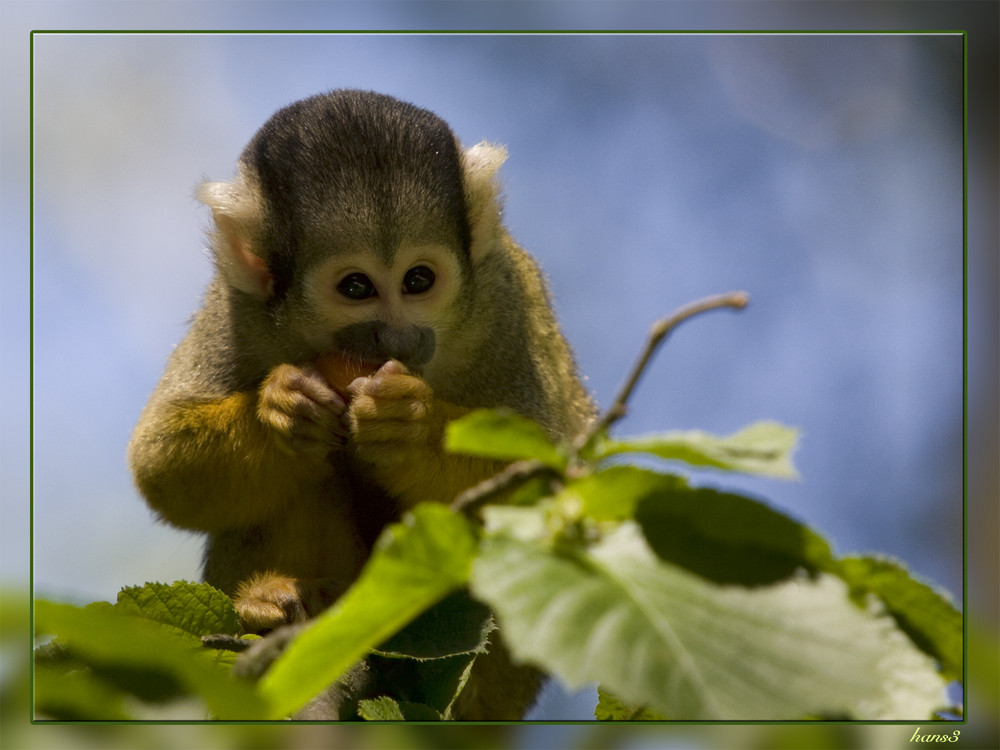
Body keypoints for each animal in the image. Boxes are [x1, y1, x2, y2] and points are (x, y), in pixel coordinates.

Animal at [125, 88, 592, 716]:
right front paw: (280, 415)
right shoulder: (239, 305)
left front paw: (410, 425)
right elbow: (162, 465)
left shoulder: (503, 301)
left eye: (418, 280)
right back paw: (272, 605)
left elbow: (546, 484)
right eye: (356, 288)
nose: (397, 338)